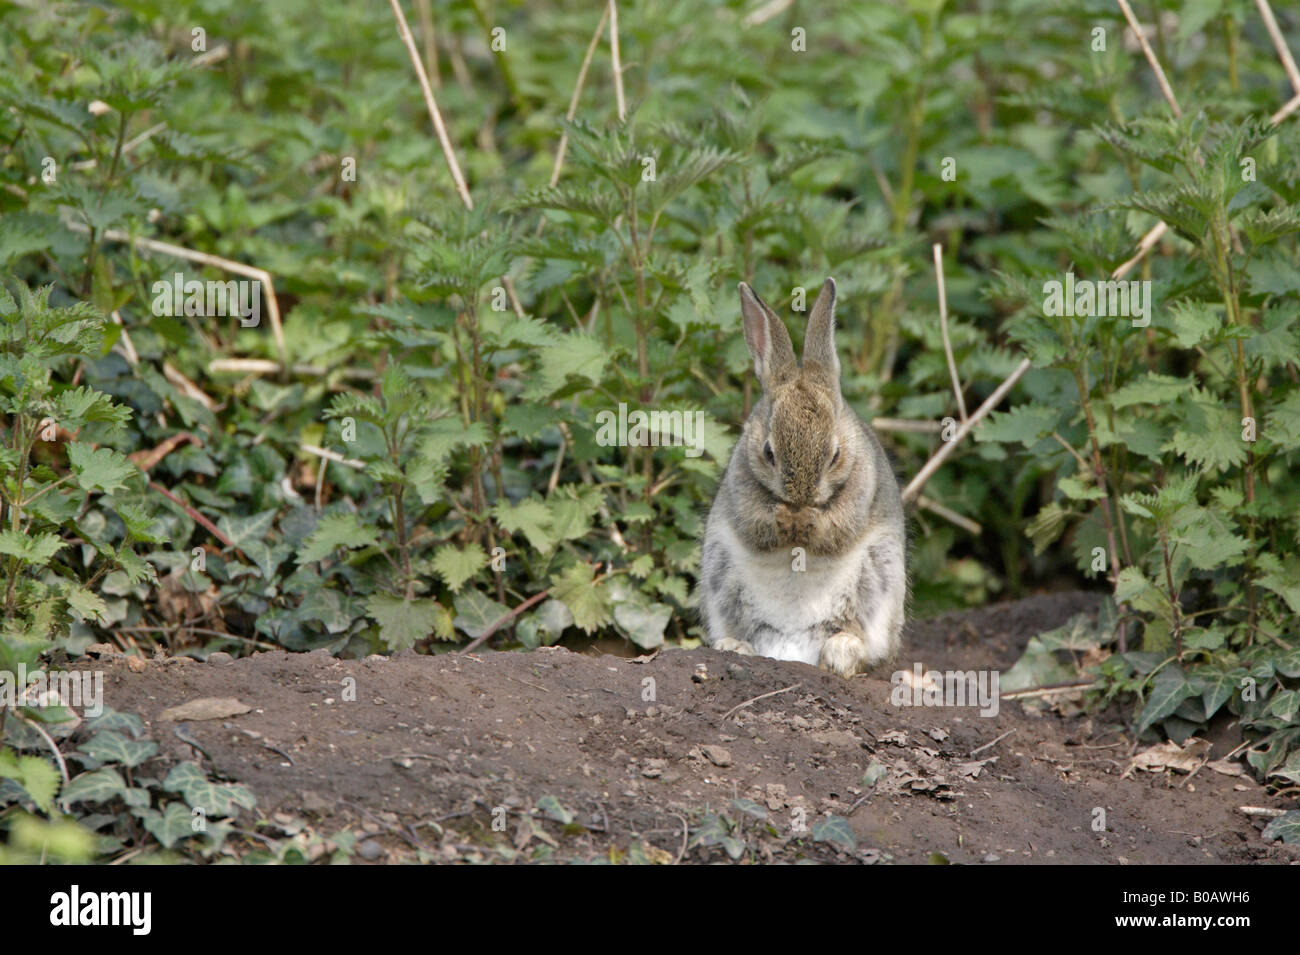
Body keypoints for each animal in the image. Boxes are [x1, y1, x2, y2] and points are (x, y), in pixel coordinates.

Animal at [702, 278, 904, 680]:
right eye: (768, 452)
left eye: (836, 455)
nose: (801, 497)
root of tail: (793, 647)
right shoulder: (742, 494)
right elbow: (758, 525)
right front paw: (787, 519)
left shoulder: (860, 496)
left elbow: (835, 529)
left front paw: (806, 520)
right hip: (721, 575)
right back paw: (735, 647)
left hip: (880, 579)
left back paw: (841, 654)